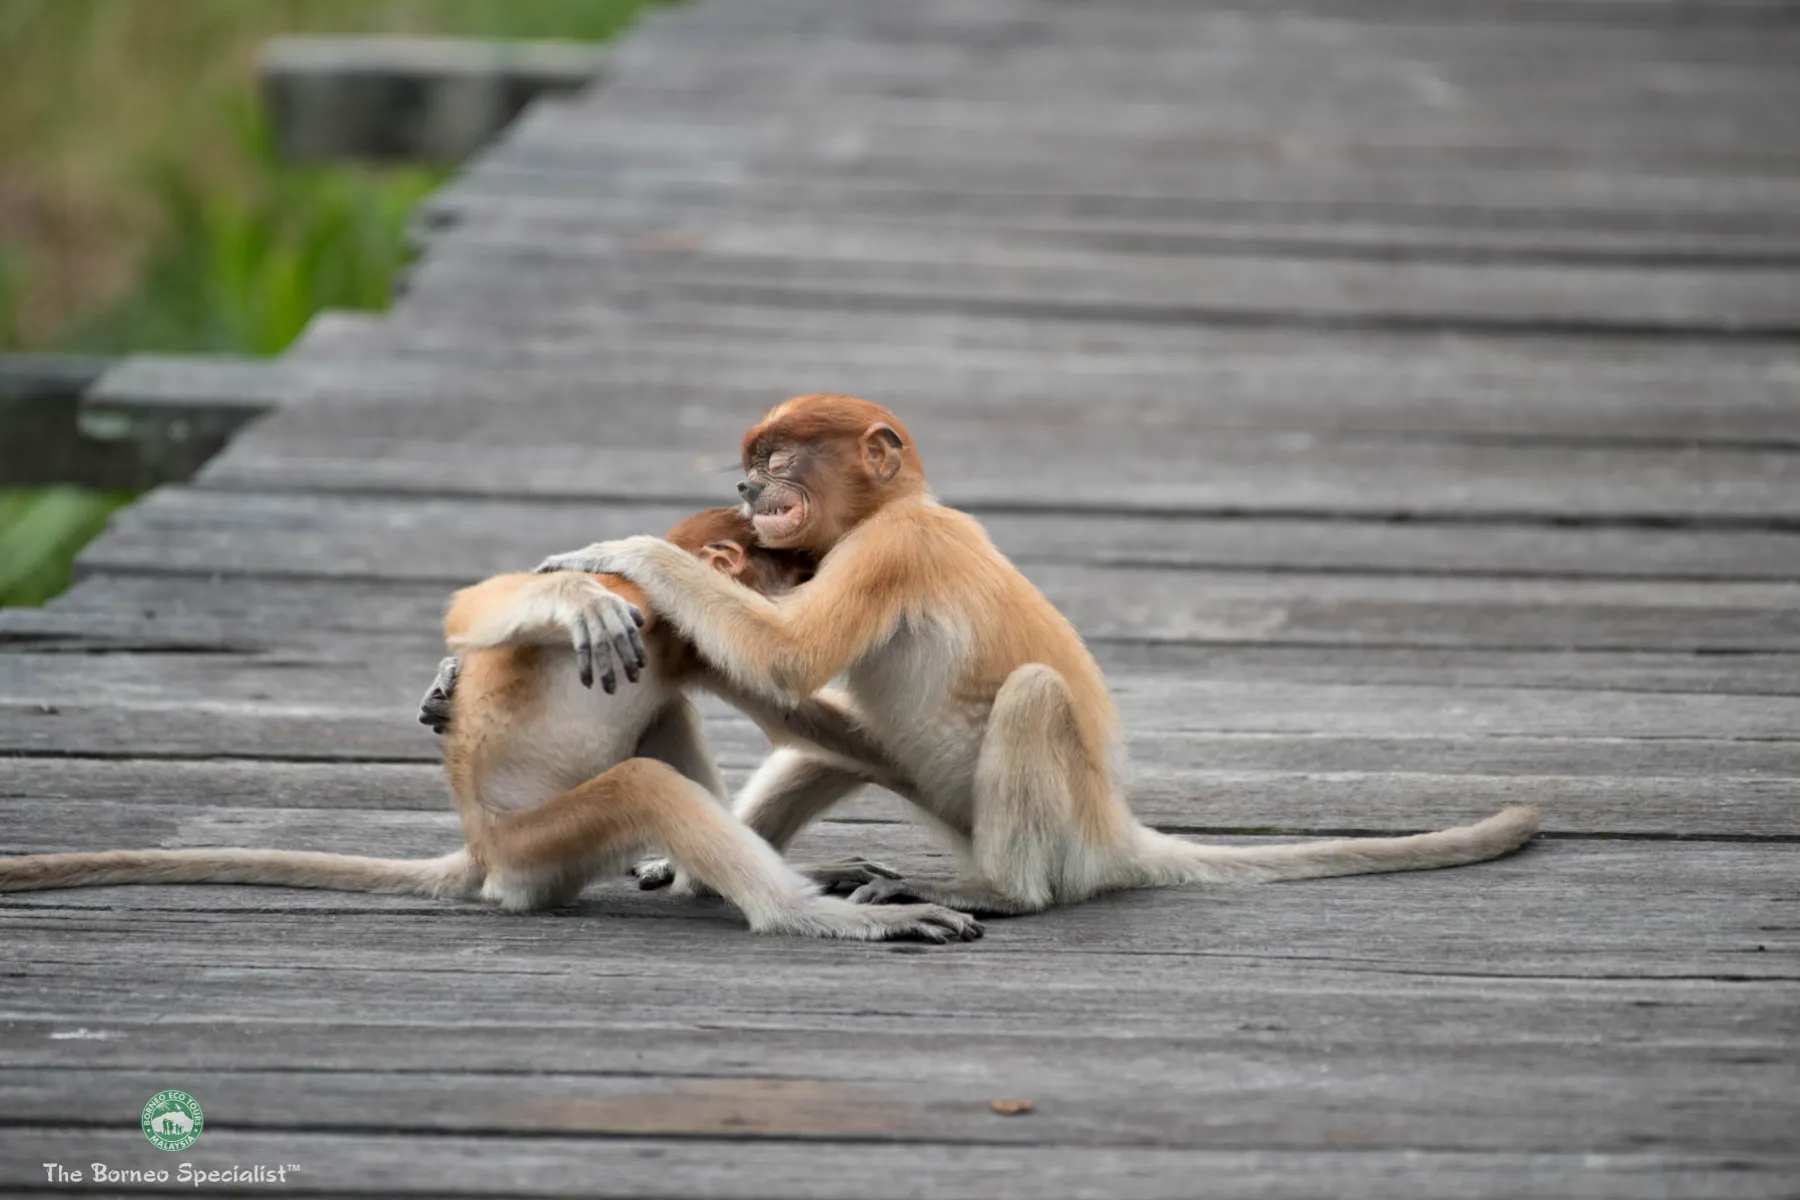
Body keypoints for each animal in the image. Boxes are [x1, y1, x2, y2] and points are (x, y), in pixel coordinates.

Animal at [0, 506, 984, 944]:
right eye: (798, 566)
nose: (812, 578)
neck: (664, 625)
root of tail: (480, 848)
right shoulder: (650, 614)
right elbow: (485, 606)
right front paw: (574, 601)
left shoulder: (686, 643)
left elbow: (789, 707)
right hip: (537, 847)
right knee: (640, 783)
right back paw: (804, 912)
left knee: (663, 718)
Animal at [536, 394, 1542, 916]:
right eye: (751, 463)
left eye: (778, 459)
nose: (751, 489)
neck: (899, 505)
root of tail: (1114, 830)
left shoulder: (893, 549)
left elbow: (791, 657)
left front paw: (617, 555)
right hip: (936, 793)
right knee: (828, 748)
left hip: (1047, 823)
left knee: (1031, 696)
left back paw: (1002, 895)